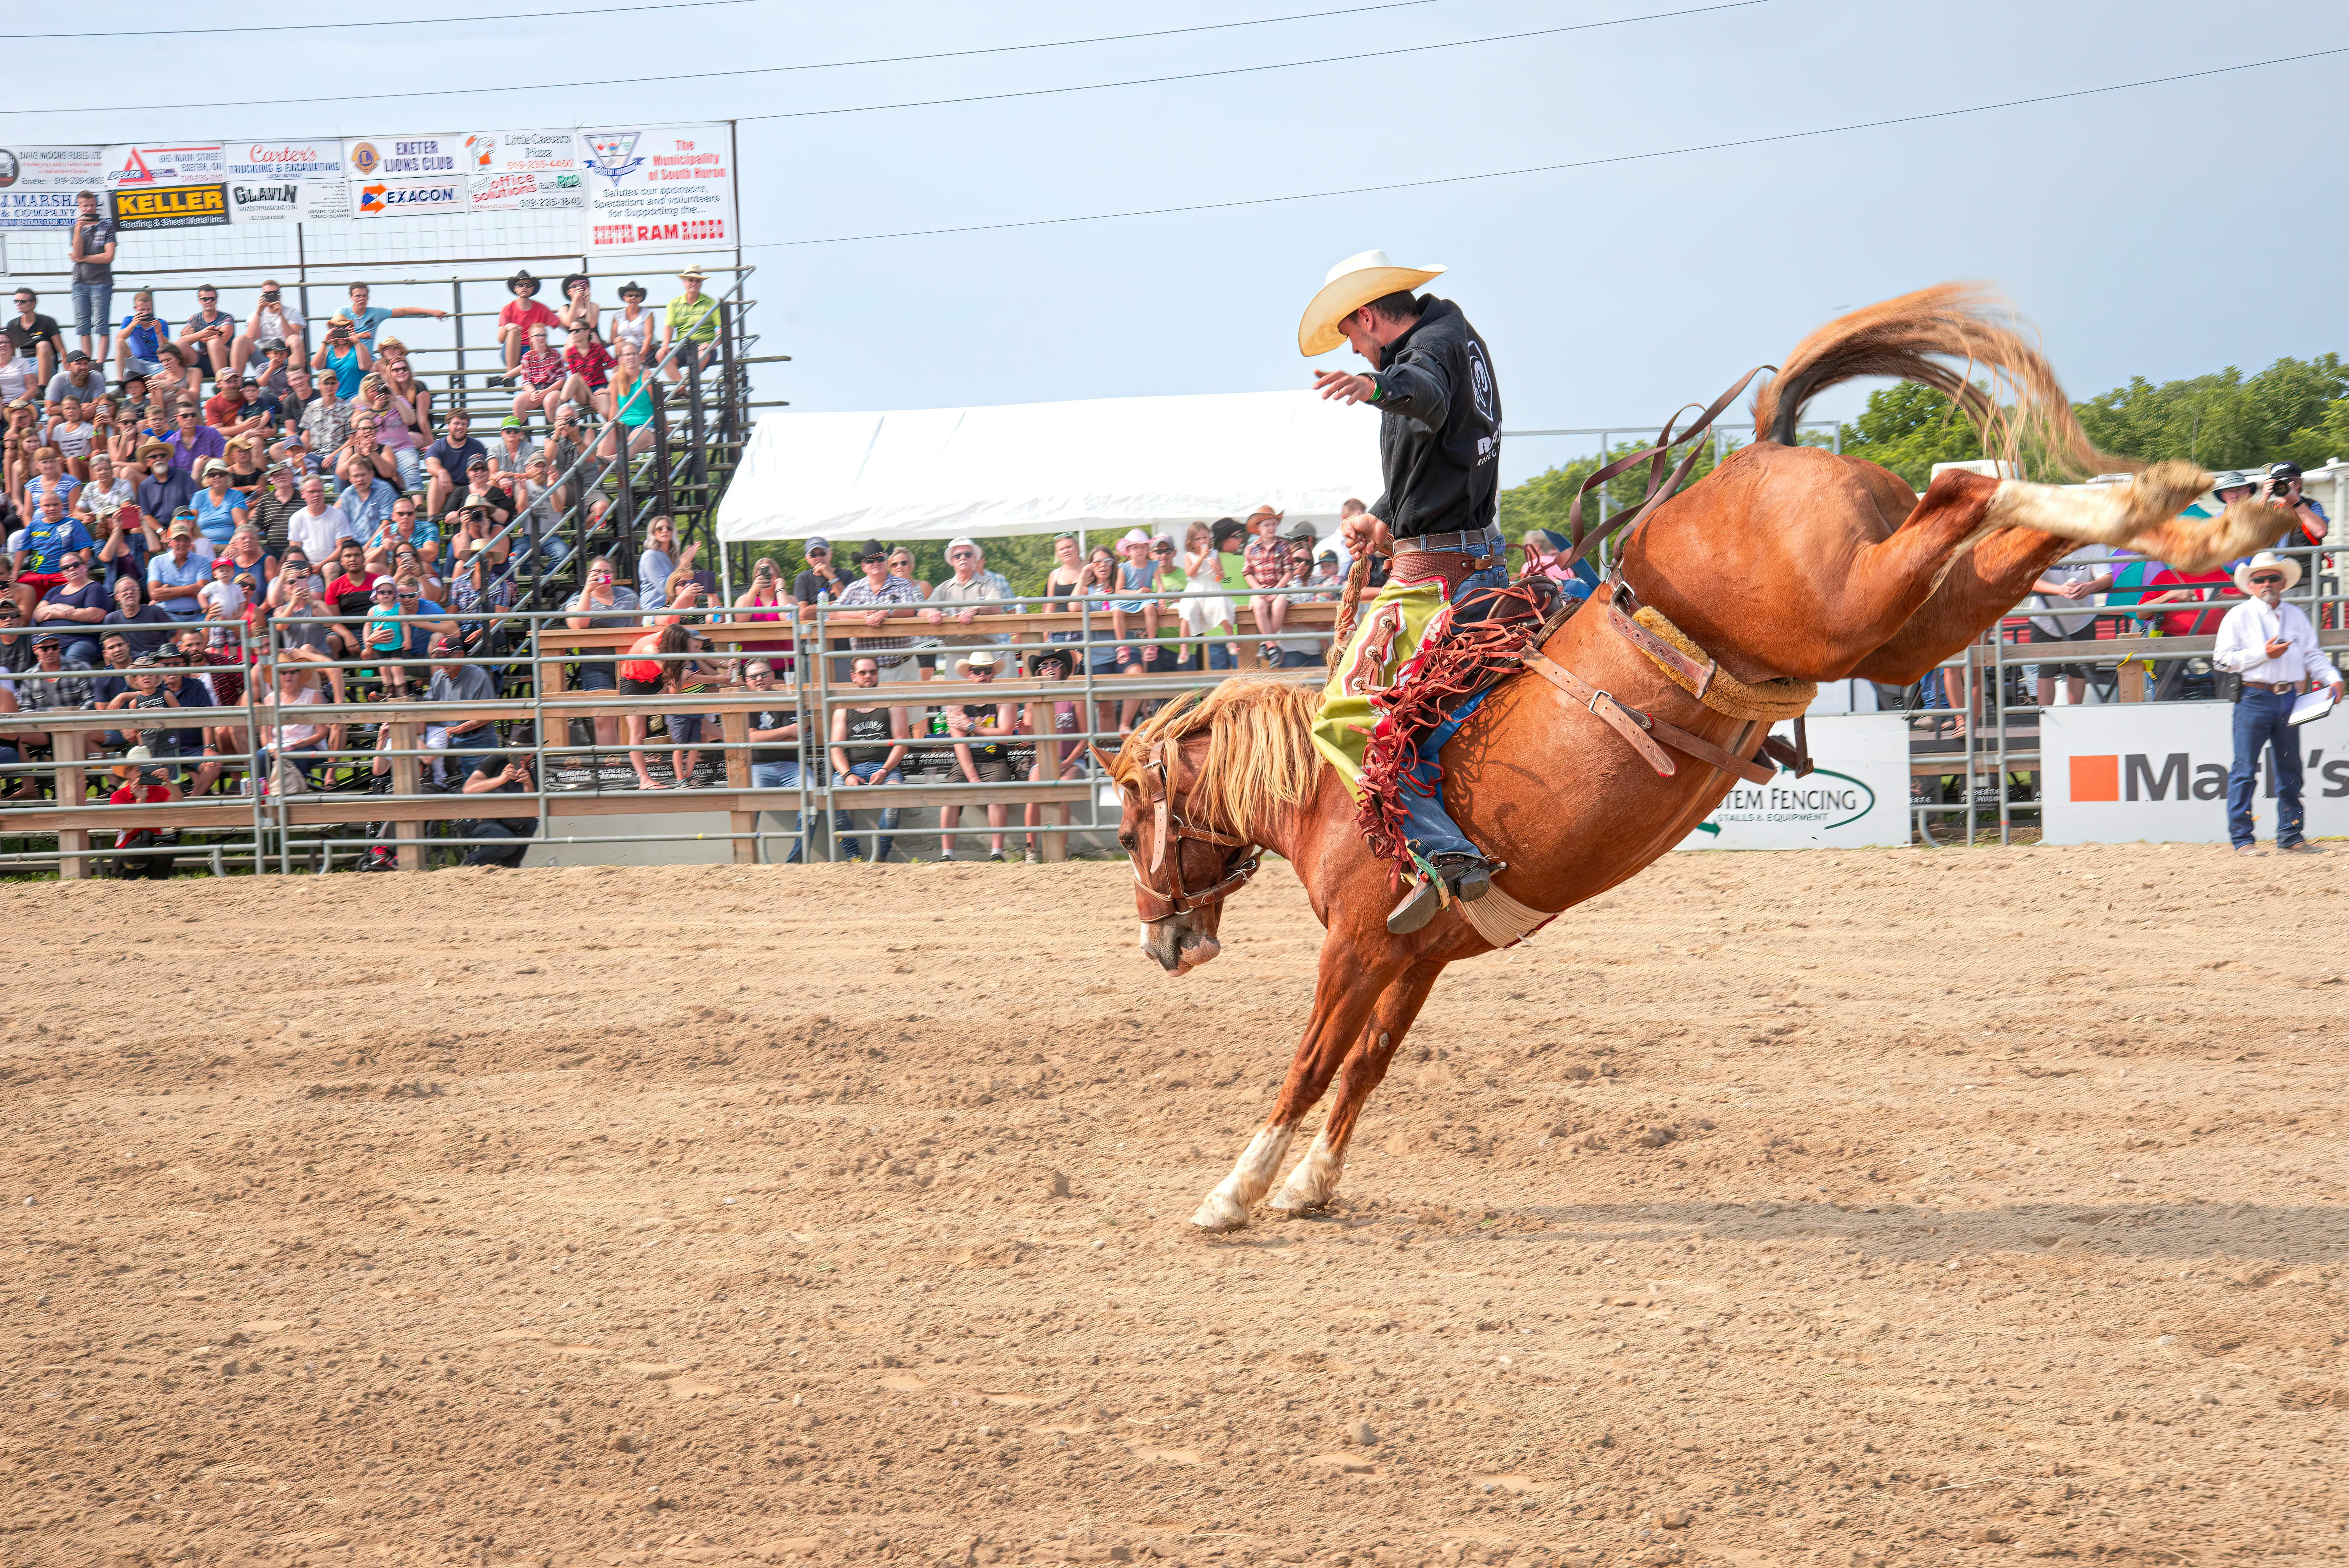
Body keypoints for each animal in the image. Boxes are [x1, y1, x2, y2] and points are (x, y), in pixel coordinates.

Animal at [1097, 284, 2284, 1232]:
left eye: (1130, 822)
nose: (1162, 943)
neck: (1330, 788)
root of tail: (1765, 446)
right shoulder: (1416, 957)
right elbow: (1365, 1068)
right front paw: (1312, 1183)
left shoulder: (1355, 945)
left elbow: (1310, 1062)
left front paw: (1235, 1192)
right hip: (1897, 628)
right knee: (1998, 525)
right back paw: (2209, 517)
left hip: (1850, 609)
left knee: (1967, 488)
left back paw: (2206, 508)